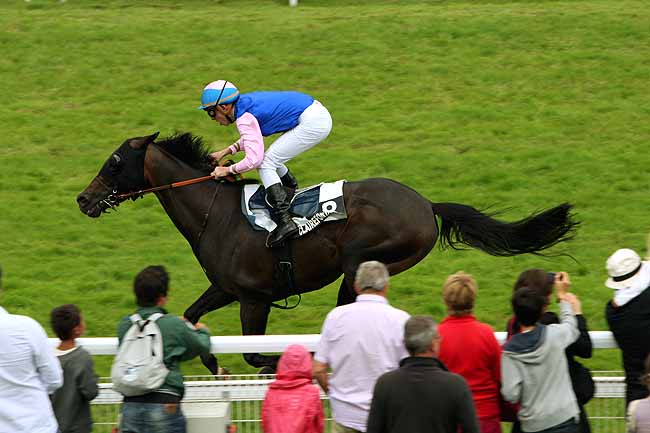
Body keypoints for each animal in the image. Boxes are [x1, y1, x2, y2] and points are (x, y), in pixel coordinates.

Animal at [76, 132, 576, 372]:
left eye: (115, 163)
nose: (83, 199)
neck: (216, 214)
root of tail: (426, 204)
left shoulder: (255, 298)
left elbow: (255, 354)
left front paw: (282, 365)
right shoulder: (226, 289)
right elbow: (192, 318)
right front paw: (211, 364)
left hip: (360, 261)